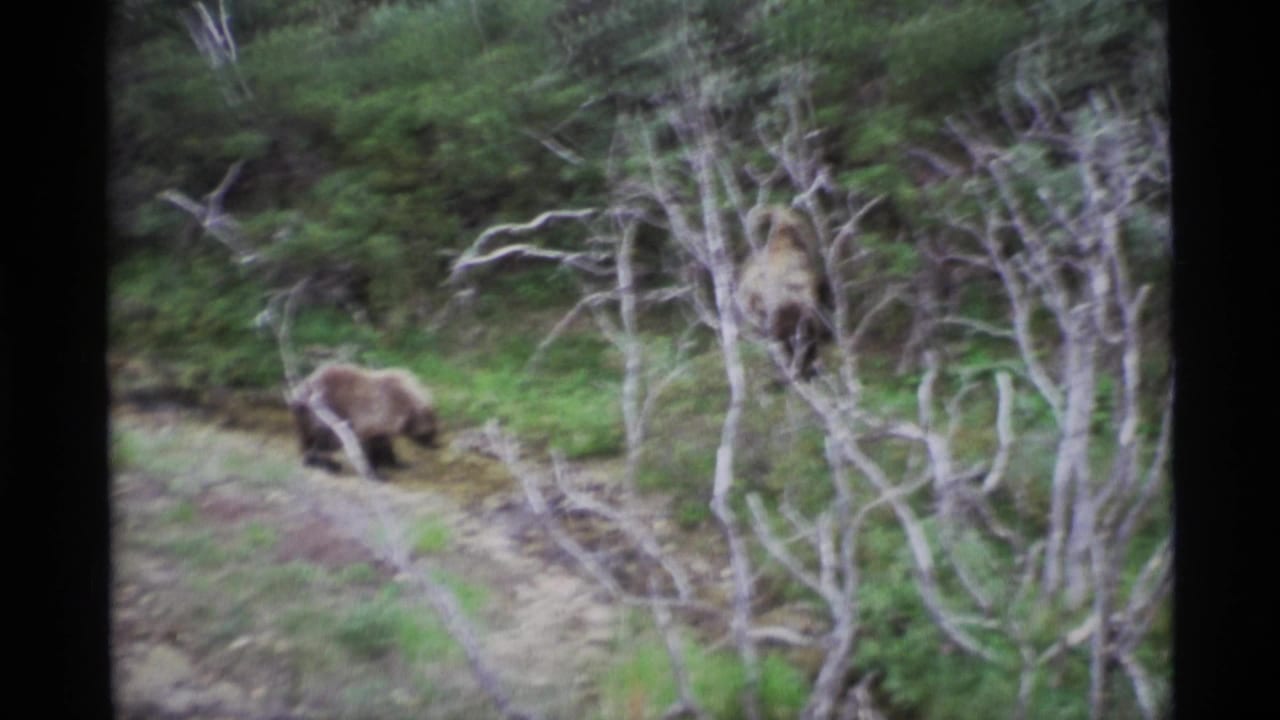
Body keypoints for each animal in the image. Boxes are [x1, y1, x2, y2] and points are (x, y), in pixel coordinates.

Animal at [289, 363, 438, 477]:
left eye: (436, 430)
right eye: (432, 431)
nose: (437, 445)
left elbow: (384, 444)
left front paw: (399, 463)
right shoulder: (371, 415)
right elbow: (370, 444)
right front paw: (377, 472)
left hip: (307, 417)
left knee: (308, 439)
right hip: (325, 410)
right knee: (326, 441)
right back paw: (329, 464)